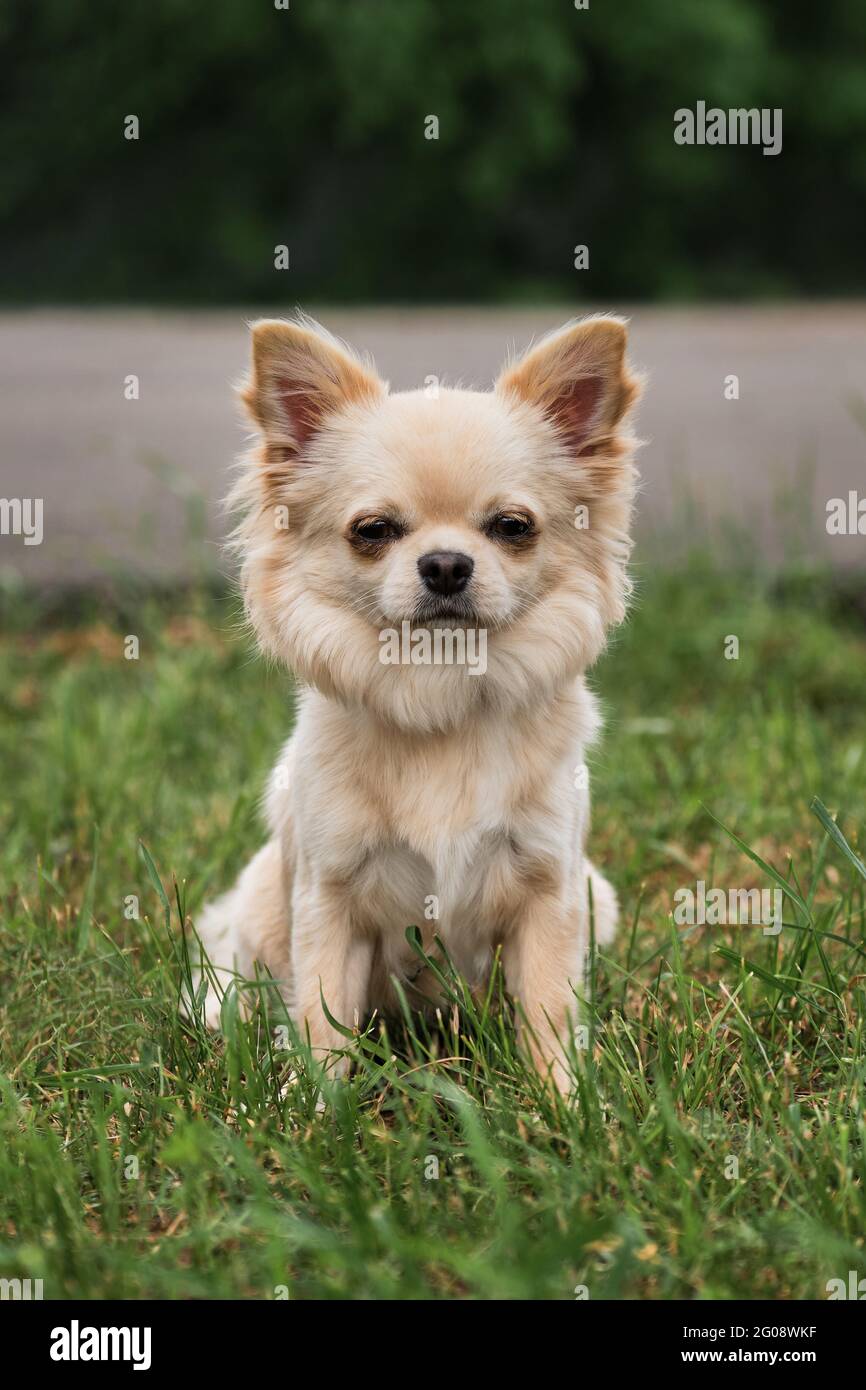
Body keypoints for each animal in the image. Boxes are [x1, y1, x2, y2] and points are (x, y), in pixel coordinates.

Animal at [195, 312, 644, 1084]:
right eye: (373, 531)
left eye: (512, 527)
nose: (445, 564)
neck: (441, 692)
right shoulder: (329, 901)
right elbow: (320, 1022)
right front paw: (308, 1104)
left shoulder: (550, 894)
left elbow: (549, 1014)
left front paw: (564, 1098)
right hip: (261, 905)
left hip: (599, 900)